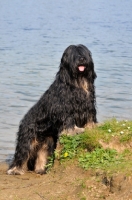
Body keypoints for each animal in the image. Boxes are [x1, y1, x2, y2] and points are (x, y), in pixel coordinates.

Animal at [7, 44, 97, 175]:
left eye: (84, 53)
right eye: (74, 54)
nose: (81, 59)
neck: (77, 82)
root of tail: (23, 121)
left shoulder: (88, 105)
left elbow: (90, 117)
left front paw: (92, 127)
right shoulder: (65, 108)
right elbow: (69, 122)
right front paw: (74, 130)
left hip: (47, 141)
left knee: (42, 155)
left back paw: (41, 169)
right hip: (27, 139)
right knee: (21, 154)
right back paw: (15, 170)